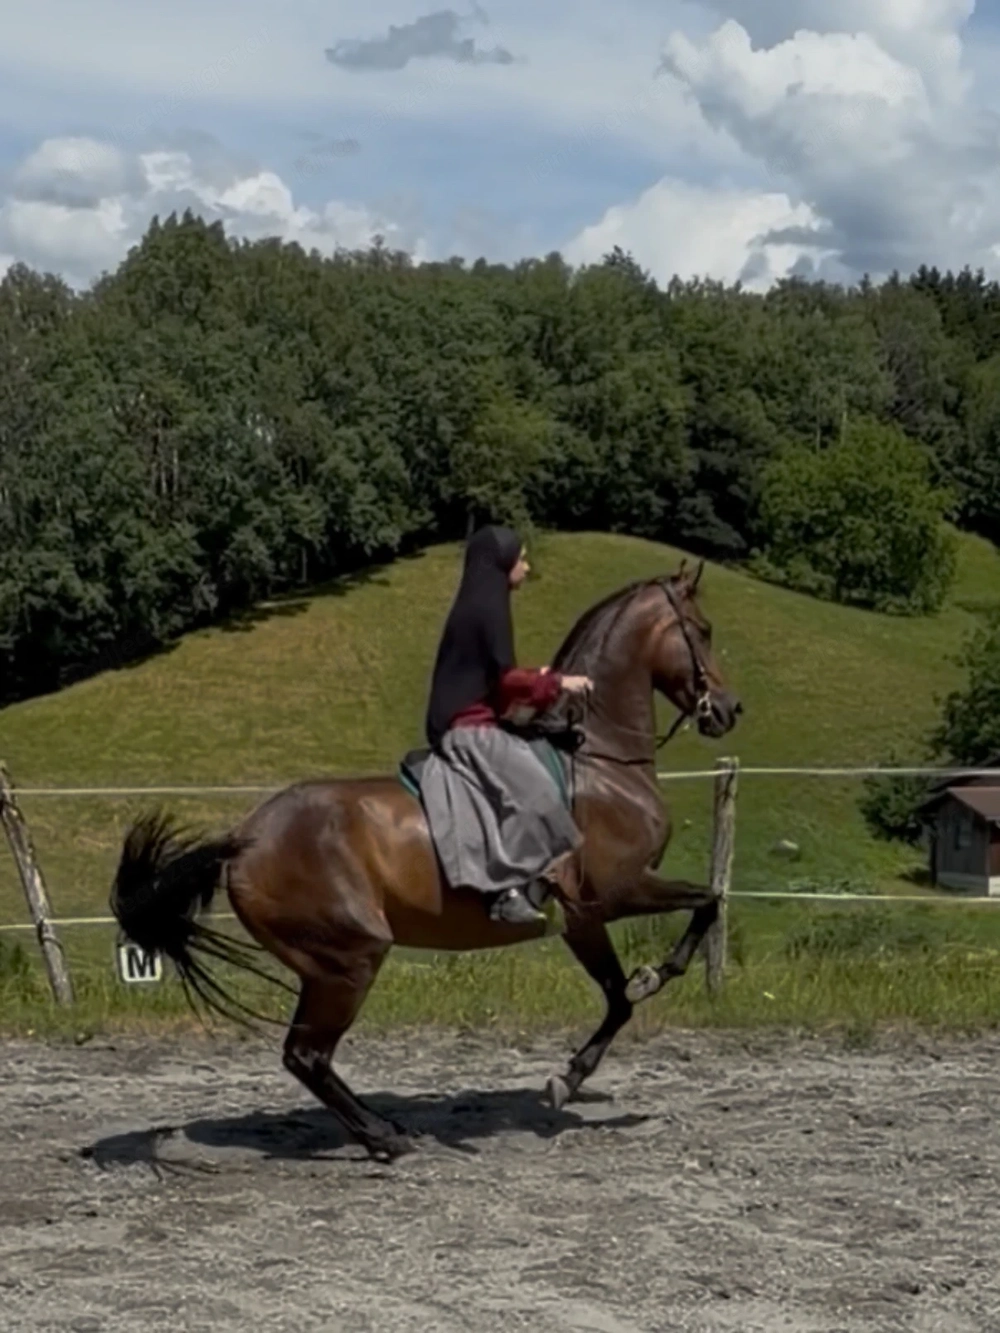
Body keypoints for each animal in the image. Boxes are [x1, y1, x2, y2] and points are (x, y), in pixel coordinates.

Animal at [110, 558, 742, 1161]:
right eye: (704, 630)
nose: (730, 709)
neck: (599, 764)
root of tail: (243, 838)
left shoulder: (591, 911)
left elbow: (653, 960)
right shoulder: (606, 898)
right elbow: (669, 945)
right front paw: (624, 1012)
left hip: (328, 968)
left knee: (307, 1056)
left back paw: (384, 1128)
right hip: (350, 960)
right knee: (306, 1054)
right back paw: (384, 1139)